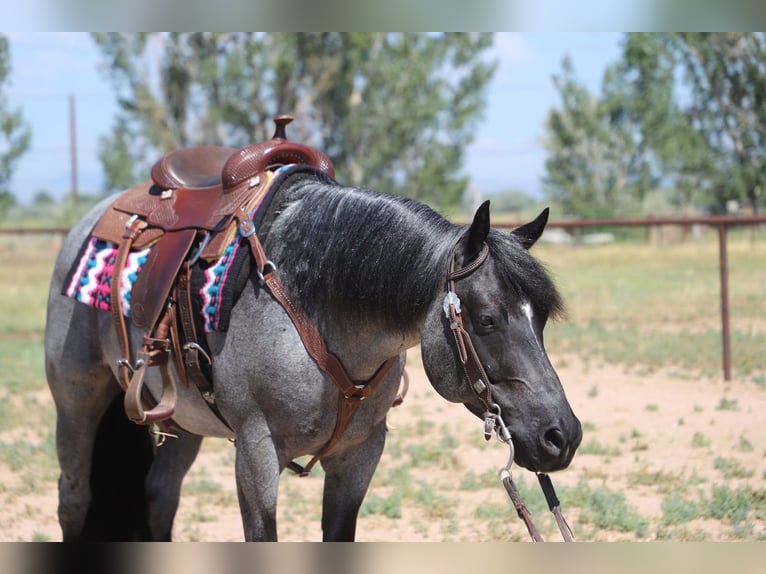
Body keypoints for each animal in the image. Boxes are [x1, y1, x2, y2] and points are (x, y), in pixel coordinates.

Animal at [45, 168, 582, 541]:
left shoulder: (360, 453)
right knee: (74, 500)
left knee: (159, 496)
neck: (315, 305)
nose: (563, 436)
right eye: (487, 318)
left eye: (540, 319)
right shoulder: (256, 452)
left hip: (183, 420)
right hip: (76, 404)